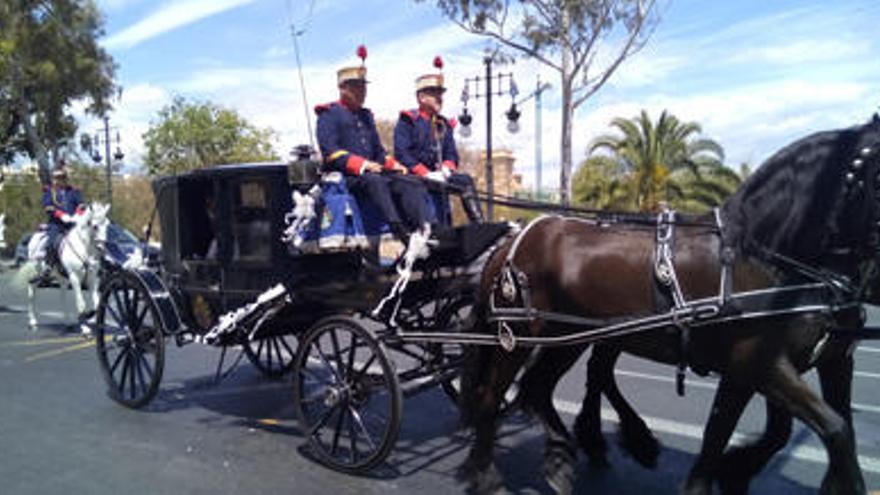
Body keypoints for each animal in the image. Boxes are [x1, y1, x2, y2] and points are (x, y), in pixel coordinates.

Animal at [16, 203, 110, 336]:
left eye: (107, 224)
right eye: (95, 226)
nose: (102, 248)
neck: (85, 248)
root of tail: (35, 236)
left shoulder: (93, 278)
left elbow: (97, 304)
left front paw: (89, 316)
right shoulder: (74, 277)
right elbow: (80, 303)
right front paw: (85, 328)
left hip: (62, 277)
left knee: (62, 296)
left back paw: (67, 323)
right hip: (39, 273)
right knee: (32, 290)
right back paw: (33, 322)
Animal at [458, 117, 880, 495]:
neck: (758, 255)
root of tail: (511, 241)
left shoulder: (823, 361)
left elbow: (796, 430)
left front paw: (735, 472)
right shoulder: (756, 364)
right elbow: (826, 429)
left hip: (568, 337)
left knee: (541, 386)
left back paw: (566, 455)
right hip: (516, 338)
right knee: (492, 395)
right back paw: (487, 474)